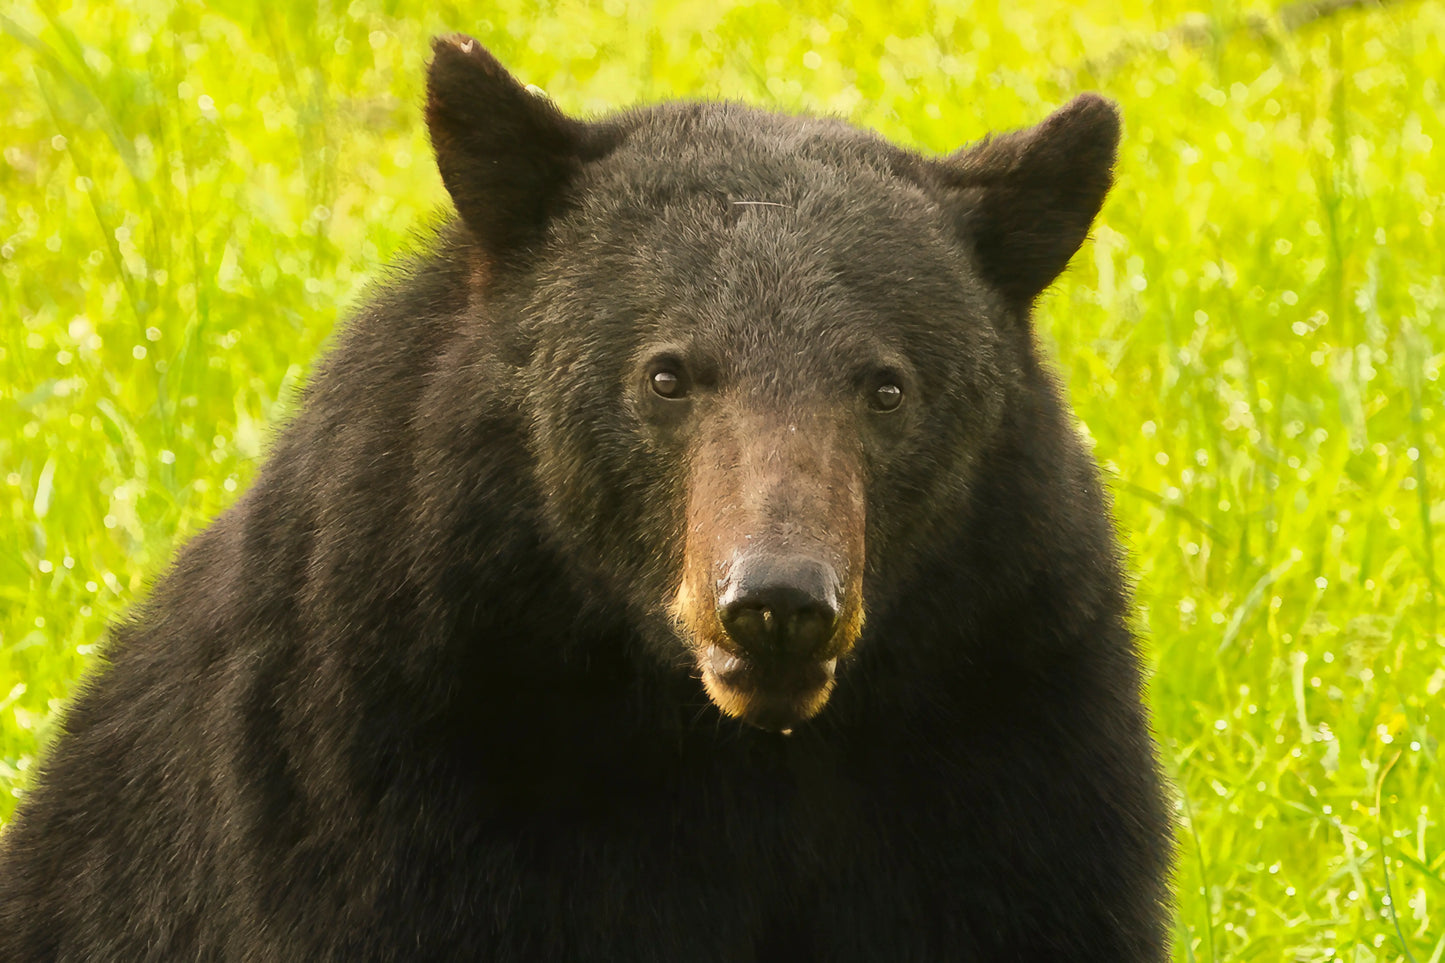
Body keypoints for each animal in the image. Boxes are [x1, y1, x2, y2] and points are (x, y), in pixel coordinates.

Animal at [0, 35, 1172, 962]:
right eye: (665, 373)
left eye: (886, 386)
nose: (778, 604)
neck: (727, 748)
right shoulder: (390, 772)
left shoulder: (1007, 735)